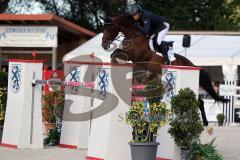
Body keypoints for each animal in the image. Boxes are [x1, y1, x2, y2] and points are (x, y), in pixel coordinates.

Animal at [101, 14, 229, 126]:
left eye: (109, 28)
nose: (104, 45)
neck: (134, 35)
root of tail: (192, 64)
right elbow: (115, 53)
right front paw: (114, 62)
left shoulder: (134, 56)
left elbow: (117, 52)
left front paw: (115, 61)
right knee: (199, 101)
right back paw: (203, 122)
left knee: (199, 101)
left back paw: (205, 122)